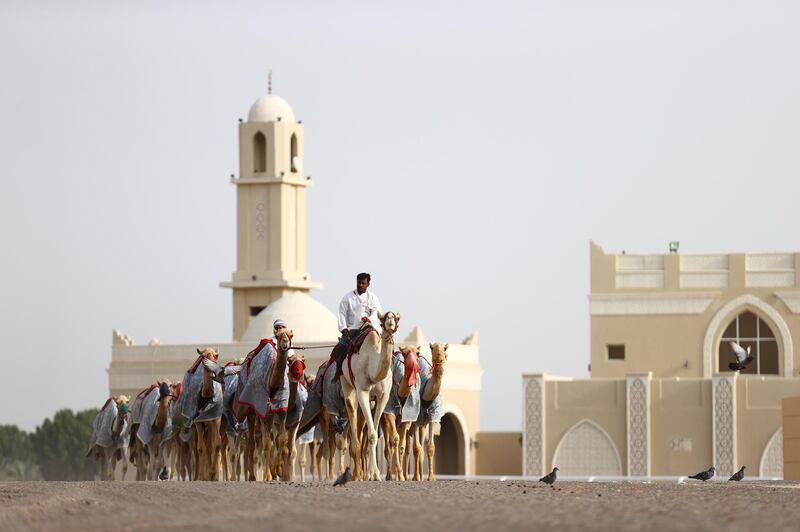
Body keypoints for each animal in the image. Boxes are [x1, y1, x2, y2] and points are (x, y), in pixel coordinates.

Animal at [340, 310, 398, 480]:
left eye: (396, 317)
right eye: (383, 318)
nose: (390, 321)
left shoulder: (383, 396)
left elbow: (374, 435)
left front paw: (374, 474)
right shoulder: (363, 391)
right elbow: (372, 434)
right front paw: (371, 474)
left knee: (360, 430)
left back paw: (359, 474)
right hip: (346, 383)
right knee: (354, 427)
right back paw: (356, 475)